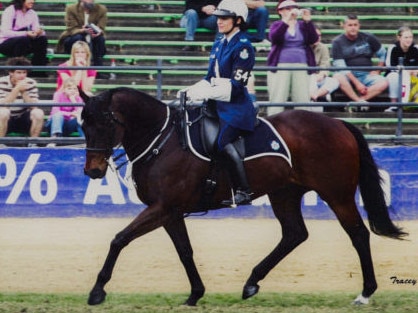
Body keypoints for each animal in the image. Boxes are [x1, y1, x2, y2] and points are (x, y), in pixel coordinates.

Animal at [80, 86, 406, 306]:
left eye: (106, 123)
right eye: (83, 125)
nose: (93, 171)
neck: (164, 140)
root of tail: (337, 123)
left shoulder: (162, 207)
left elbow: (119, 239)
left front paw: (97, 291)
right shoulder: (169, 211)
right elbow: (185, 251)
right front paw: (195, 294)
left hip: (337, 194)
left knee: (358, 234)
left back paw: (365, 292)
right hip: (284, 193)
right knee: (294, 234)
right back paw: (251, 283)